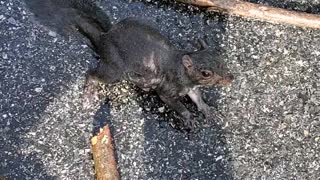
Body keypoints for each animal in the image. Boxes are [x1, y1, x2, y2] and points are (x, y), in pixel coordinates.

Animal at [26, 0, 234, 129]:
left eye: (221, 58)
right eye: (206, 73)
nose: (231, 78)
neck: (182, 69)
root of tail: (103, 39)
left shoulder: (191, 87)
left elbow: (197, 98)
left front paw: (207, 110)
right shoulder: (168, 88)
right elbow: (174, 103)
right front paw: (189, 117)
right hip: (114, 70)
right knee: (92, 74)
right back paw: (88, 94)